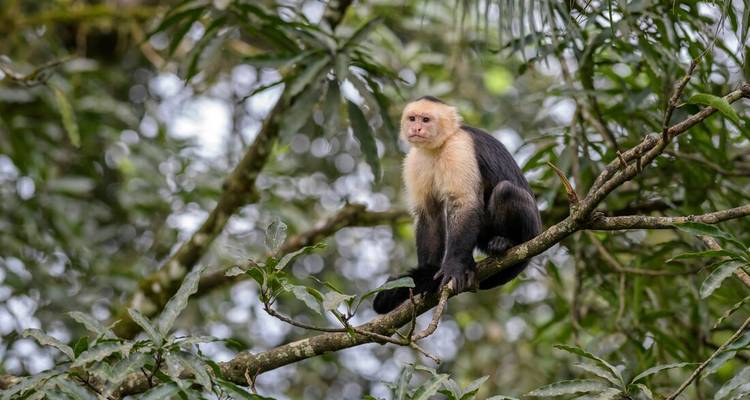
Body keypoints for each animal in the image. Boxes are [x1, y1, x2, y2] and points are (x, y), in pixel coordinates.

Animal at [372, 96, 542, 314]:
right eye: (412, 118)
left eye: (425, 120)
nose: (416, 128)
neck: (438, 146)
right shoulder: (414, 161)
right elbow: (429, 215)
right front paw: (429, 275)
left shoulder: (459, 148)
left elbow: (465, 203)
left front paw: (453, 267)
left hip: (533, 230)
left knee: (505, 191)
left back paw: (507, 242)